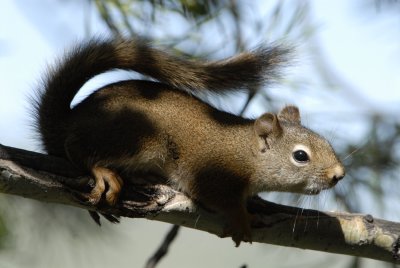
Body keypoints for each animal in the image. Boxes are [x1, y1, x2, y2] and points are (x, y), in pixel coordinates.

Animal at [32, 36, 344, 246]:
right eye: (300, 156)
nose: (338, 174)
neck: (245, 153)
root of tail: (67, 122)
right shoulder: (212, 174)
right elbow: (220, 200)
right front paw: (242, 218)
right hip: (133, 138)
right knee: (76, 150)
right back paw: (103, 171)